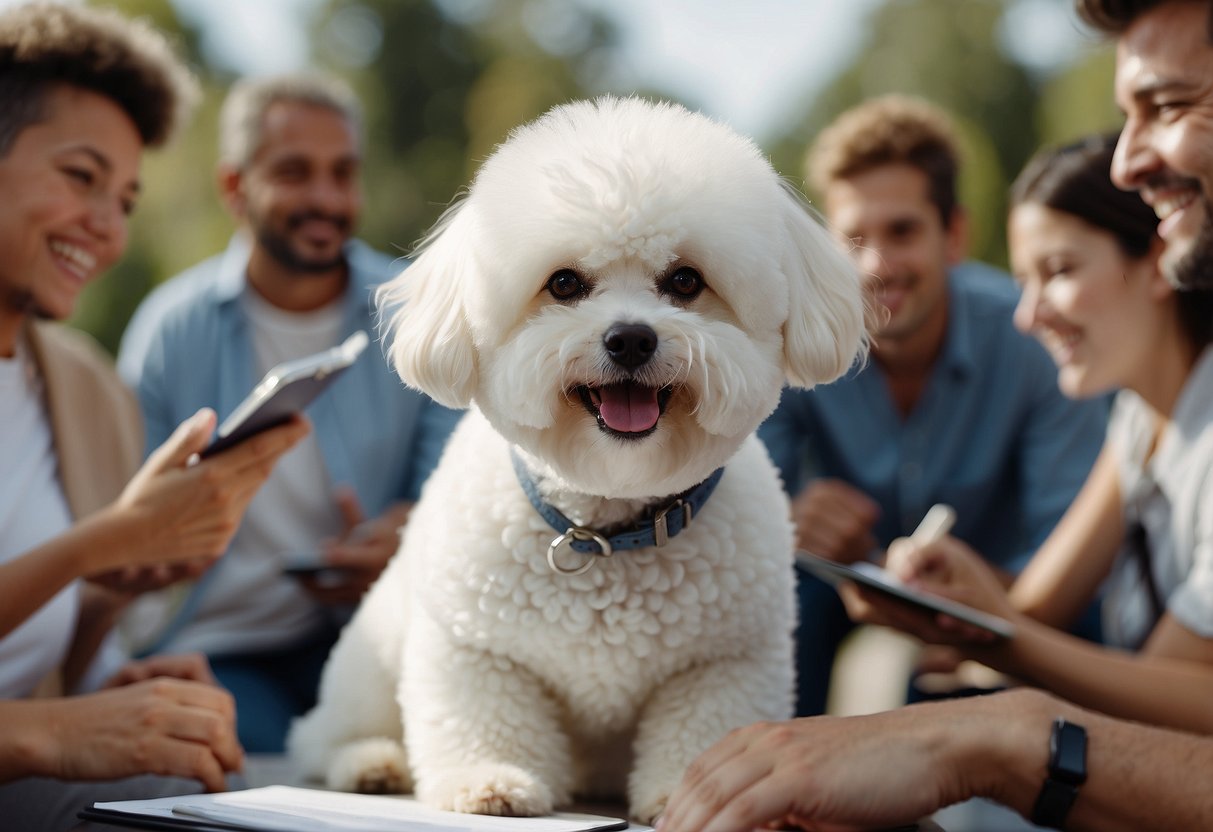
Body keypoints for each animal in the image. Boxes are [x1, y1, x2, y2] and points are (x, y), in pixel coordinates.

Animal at [288, 96, 868, 819]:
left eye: (685, 281)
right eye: (563, 283)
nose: (630, 338)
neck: (606, 527)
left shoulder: (724, 663)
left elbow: (701, 729)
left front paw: (683, 791)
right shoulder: (476, 648)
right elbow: (484, 716)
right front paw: (492, 780)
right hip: (366, 663)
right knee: (324, 735)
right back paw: (372, 763)